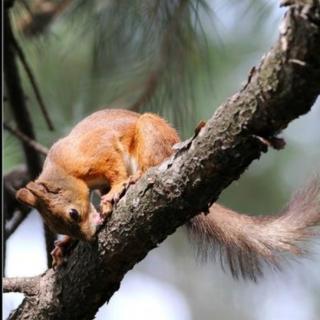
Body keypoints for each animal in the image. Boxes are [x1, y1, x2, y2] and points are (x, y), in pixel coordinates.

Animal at [15, 108, 320, 278]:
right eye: (56, 226)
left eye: (73, 214)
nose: (89, 238)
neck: (65, 169)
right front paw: (66, 244)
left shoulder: (101, 150)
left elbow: (114, 169)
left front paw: (116, 191)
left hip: (150, 132)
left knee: (150, 162)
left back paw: (135, 179)